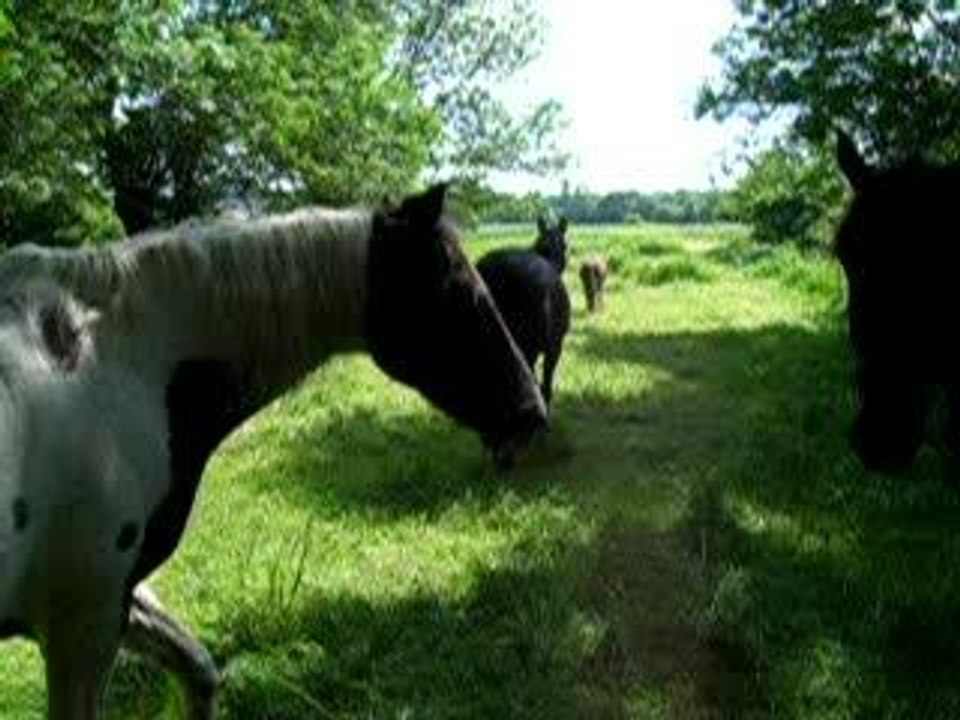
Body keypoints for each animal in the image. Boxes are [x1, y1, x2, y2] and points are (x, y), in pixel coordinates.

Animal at [0, 184, 547, 719]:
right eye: (463, 294)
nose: (532, 412)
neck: (125, 361)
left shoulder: (120, 600)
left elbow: (200, 671)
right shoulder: (82, 620)